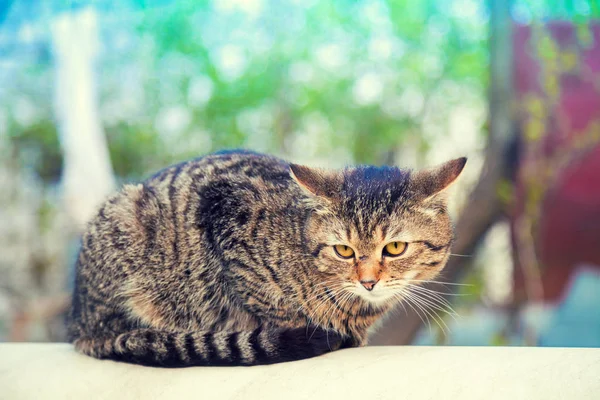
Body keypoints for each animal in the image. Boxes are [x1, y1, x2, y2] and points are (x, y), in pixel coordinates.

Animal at [68, 149, 466, 366]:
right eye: (344, 250)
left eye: (395, 248)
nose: (368, 282)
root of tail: (79, 322)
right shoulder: (225, 211)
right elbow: (266, 303)